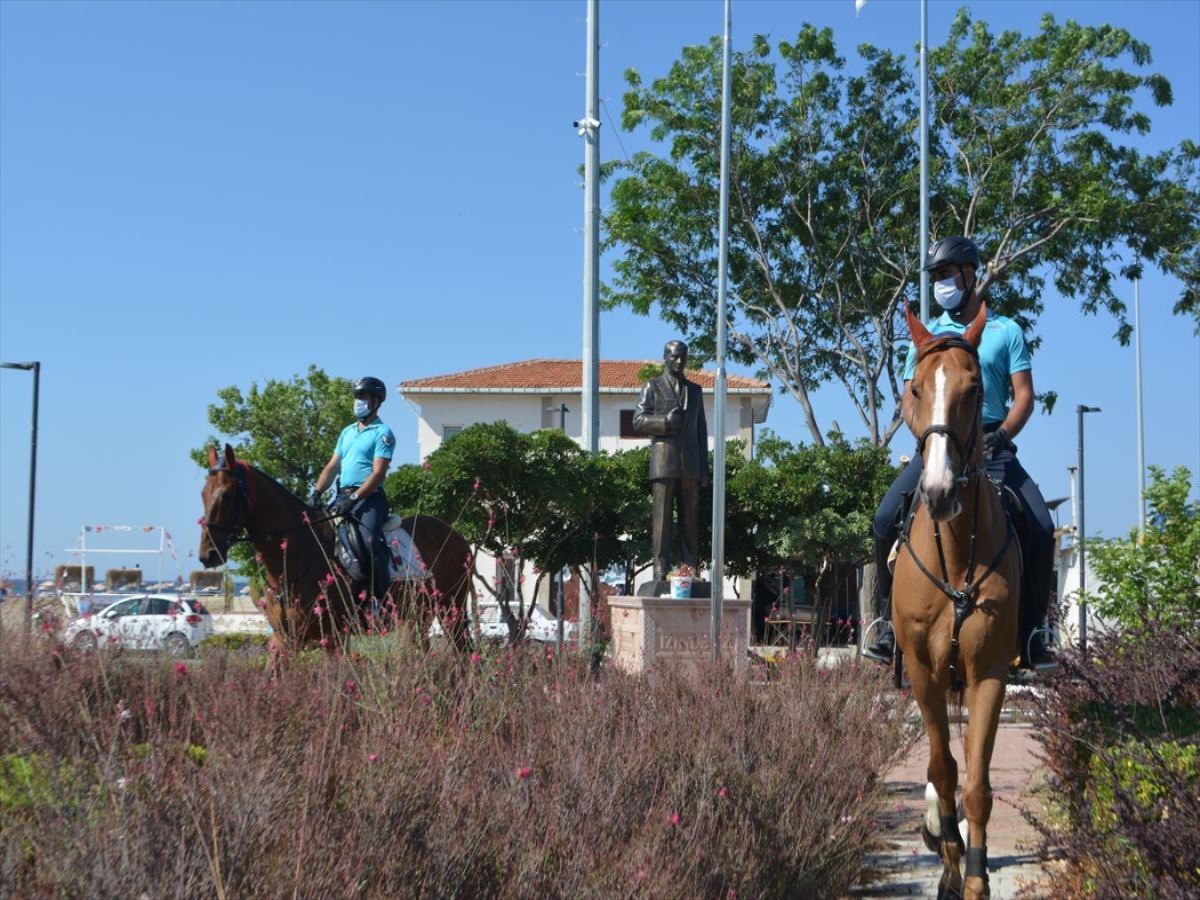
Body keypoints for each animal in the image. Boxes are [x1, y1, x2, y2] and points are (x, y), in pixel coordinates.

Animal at [198, 444, 472, 657]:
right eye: (203, 494)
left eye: (227, 495)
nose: (208, 555)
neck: (298, 553)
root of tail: (457, 537)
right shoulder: (283, 640)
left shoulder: (333, 639)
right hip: (420, 617)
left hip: (452, 612)